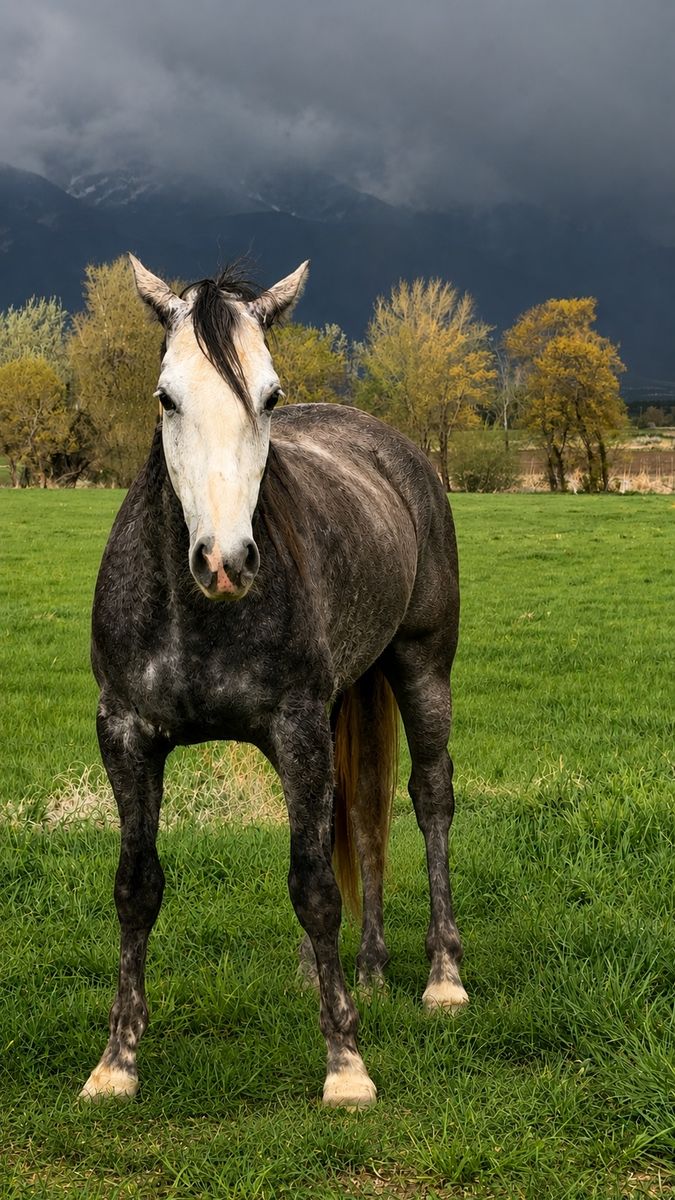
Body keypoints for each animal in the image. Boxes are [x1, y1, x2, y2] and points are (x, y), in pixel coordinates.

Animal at [80, 254, 468, 1109]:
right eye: (166, 396)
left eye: (270, 396)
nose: (225, 562)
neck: (199, 614)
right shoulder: (126, 736)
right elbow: (136, 888)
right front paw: (116, 1062)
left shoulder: (294, 730)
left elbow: (315, 888)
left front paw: (345, 1066)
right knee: (358, 814)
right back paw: (360, 971)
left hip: (421, 668)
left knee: (428, 799)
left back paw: (441, 977)